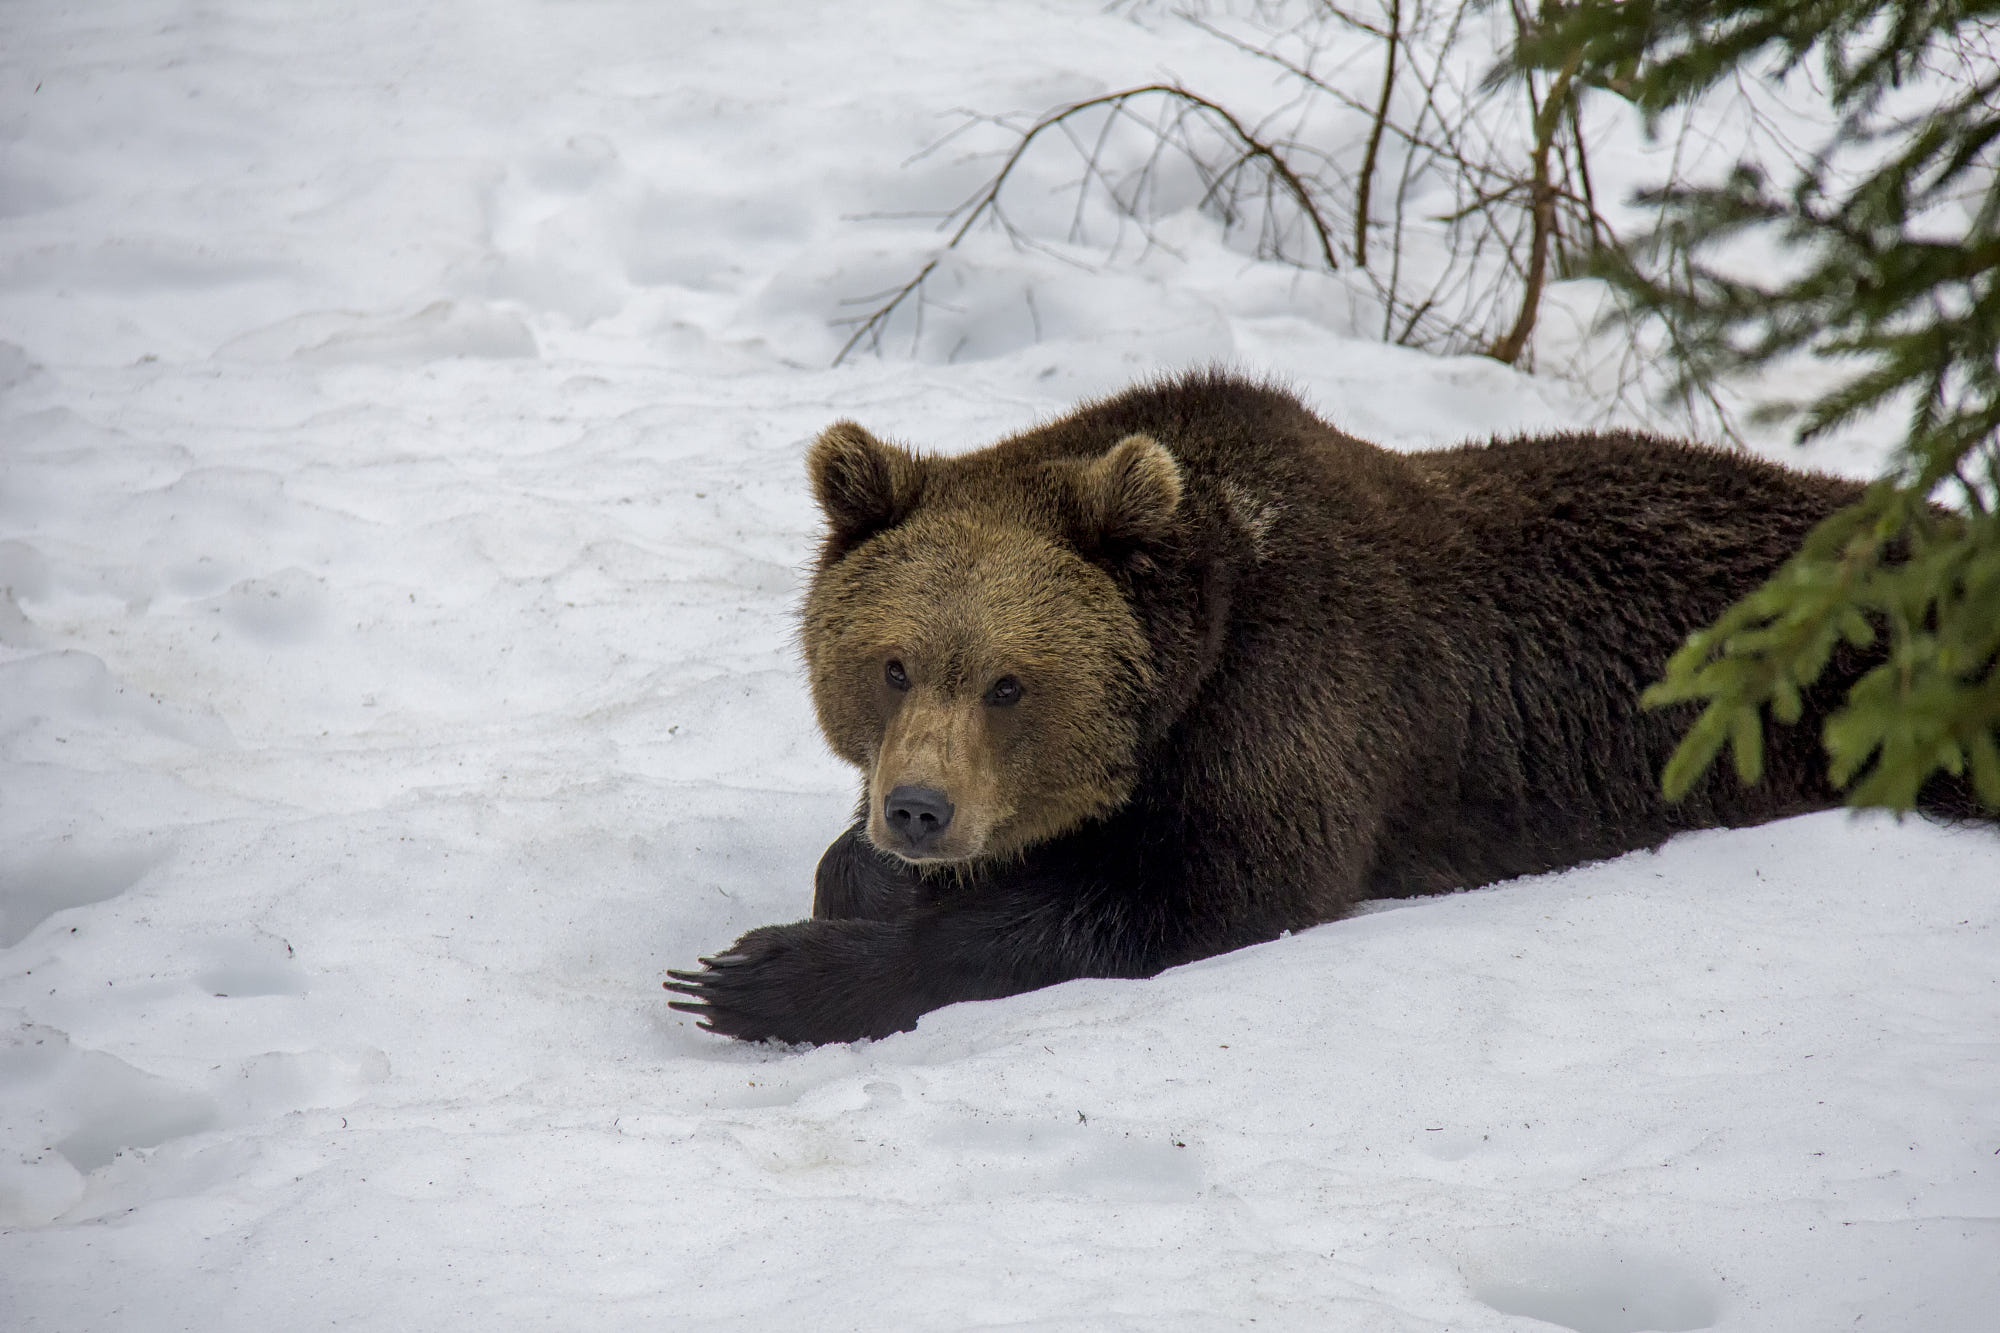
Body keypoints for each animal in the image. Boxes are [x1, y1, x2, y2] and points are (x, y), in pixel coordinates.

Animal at [668, 368, 1984, 1040]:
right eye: (891, 664)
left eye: (1010, 682)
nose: (919, 810)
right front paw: (857, 879)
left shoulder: (1299, 702)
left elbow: (1207, 888)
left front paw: (763, 975)